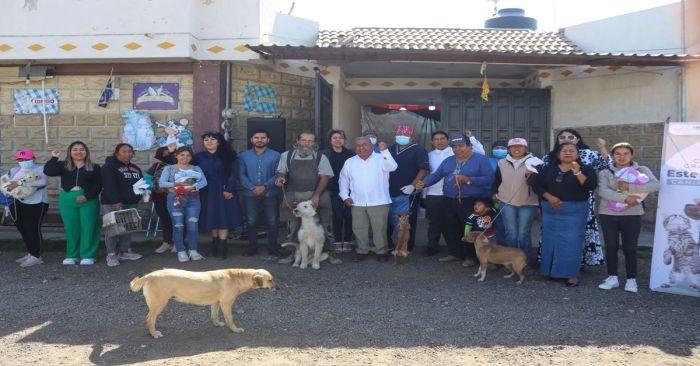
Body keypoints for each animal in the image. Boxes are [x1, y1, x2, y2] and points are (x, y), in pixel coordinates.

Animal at [130, 268, 278, 338]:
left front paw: (217, 324)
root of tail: (149, 275)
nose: (278, 287)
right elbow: (230, 319)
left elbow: (214, 315)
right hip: (159, 303)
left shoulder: (216, 303)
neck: (237, 277)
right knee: (149, 319)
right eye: (270, 280)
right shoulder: (226, 304)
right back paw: (154, 334)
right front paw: (235, 330)